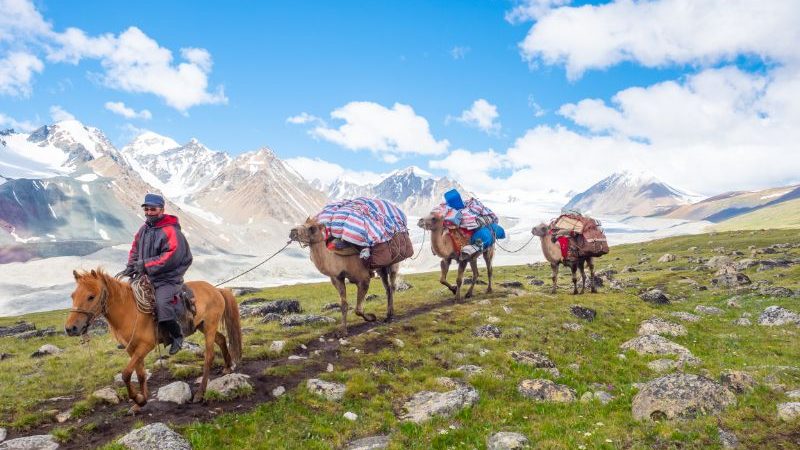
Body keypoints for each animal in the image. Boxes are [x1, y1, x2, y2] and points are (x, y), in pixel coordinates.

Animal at [63, 268, 241, 406]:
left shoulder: (145, 346)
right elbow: (140, 373)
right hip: (203, 326)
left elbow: (126, 373)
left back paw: (199, 394)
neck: (129, 311)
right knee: (221, 339)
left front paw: (138, 400)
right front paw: (141, 401)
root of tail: (217, 290)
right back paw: (228, 367)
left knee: (209, 356)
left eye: (91, 296)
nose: (70, 328)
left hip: (210, 326)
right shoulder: (132, 349)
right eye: (72, 296)